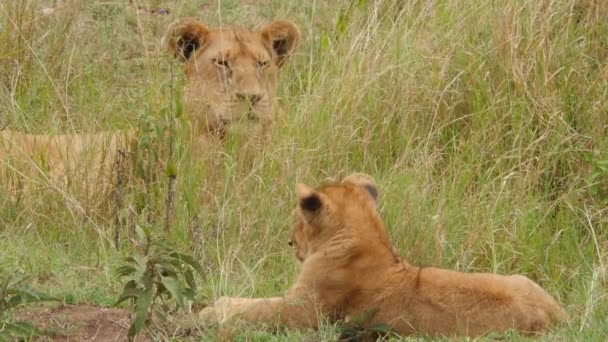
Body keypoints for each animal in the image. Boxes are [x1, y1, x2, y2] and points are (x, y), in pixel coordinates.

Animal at [201, 172, 568, 338]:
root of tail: (559, 318)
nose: (291, 243)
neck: (365, 239)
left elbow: (255, 308)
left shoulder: (304, 313)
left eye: (300, 220)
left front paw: (211, 310)